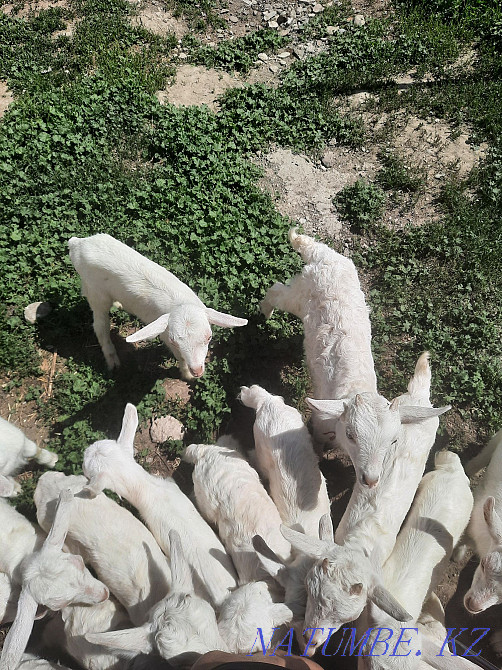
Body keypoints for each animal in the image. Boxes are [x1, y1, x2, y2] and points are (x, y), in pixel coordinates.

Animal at [68, 234, 247, 380]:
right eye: (174, 341)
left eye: (209, 337)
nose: (197, 370)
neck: (180, 303)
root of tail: (77, 244)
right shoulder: (166, 335)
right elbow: (180, 357)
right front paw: (187, 375)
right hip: (96, 292)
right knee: (100, 324)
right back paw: (112, 360)